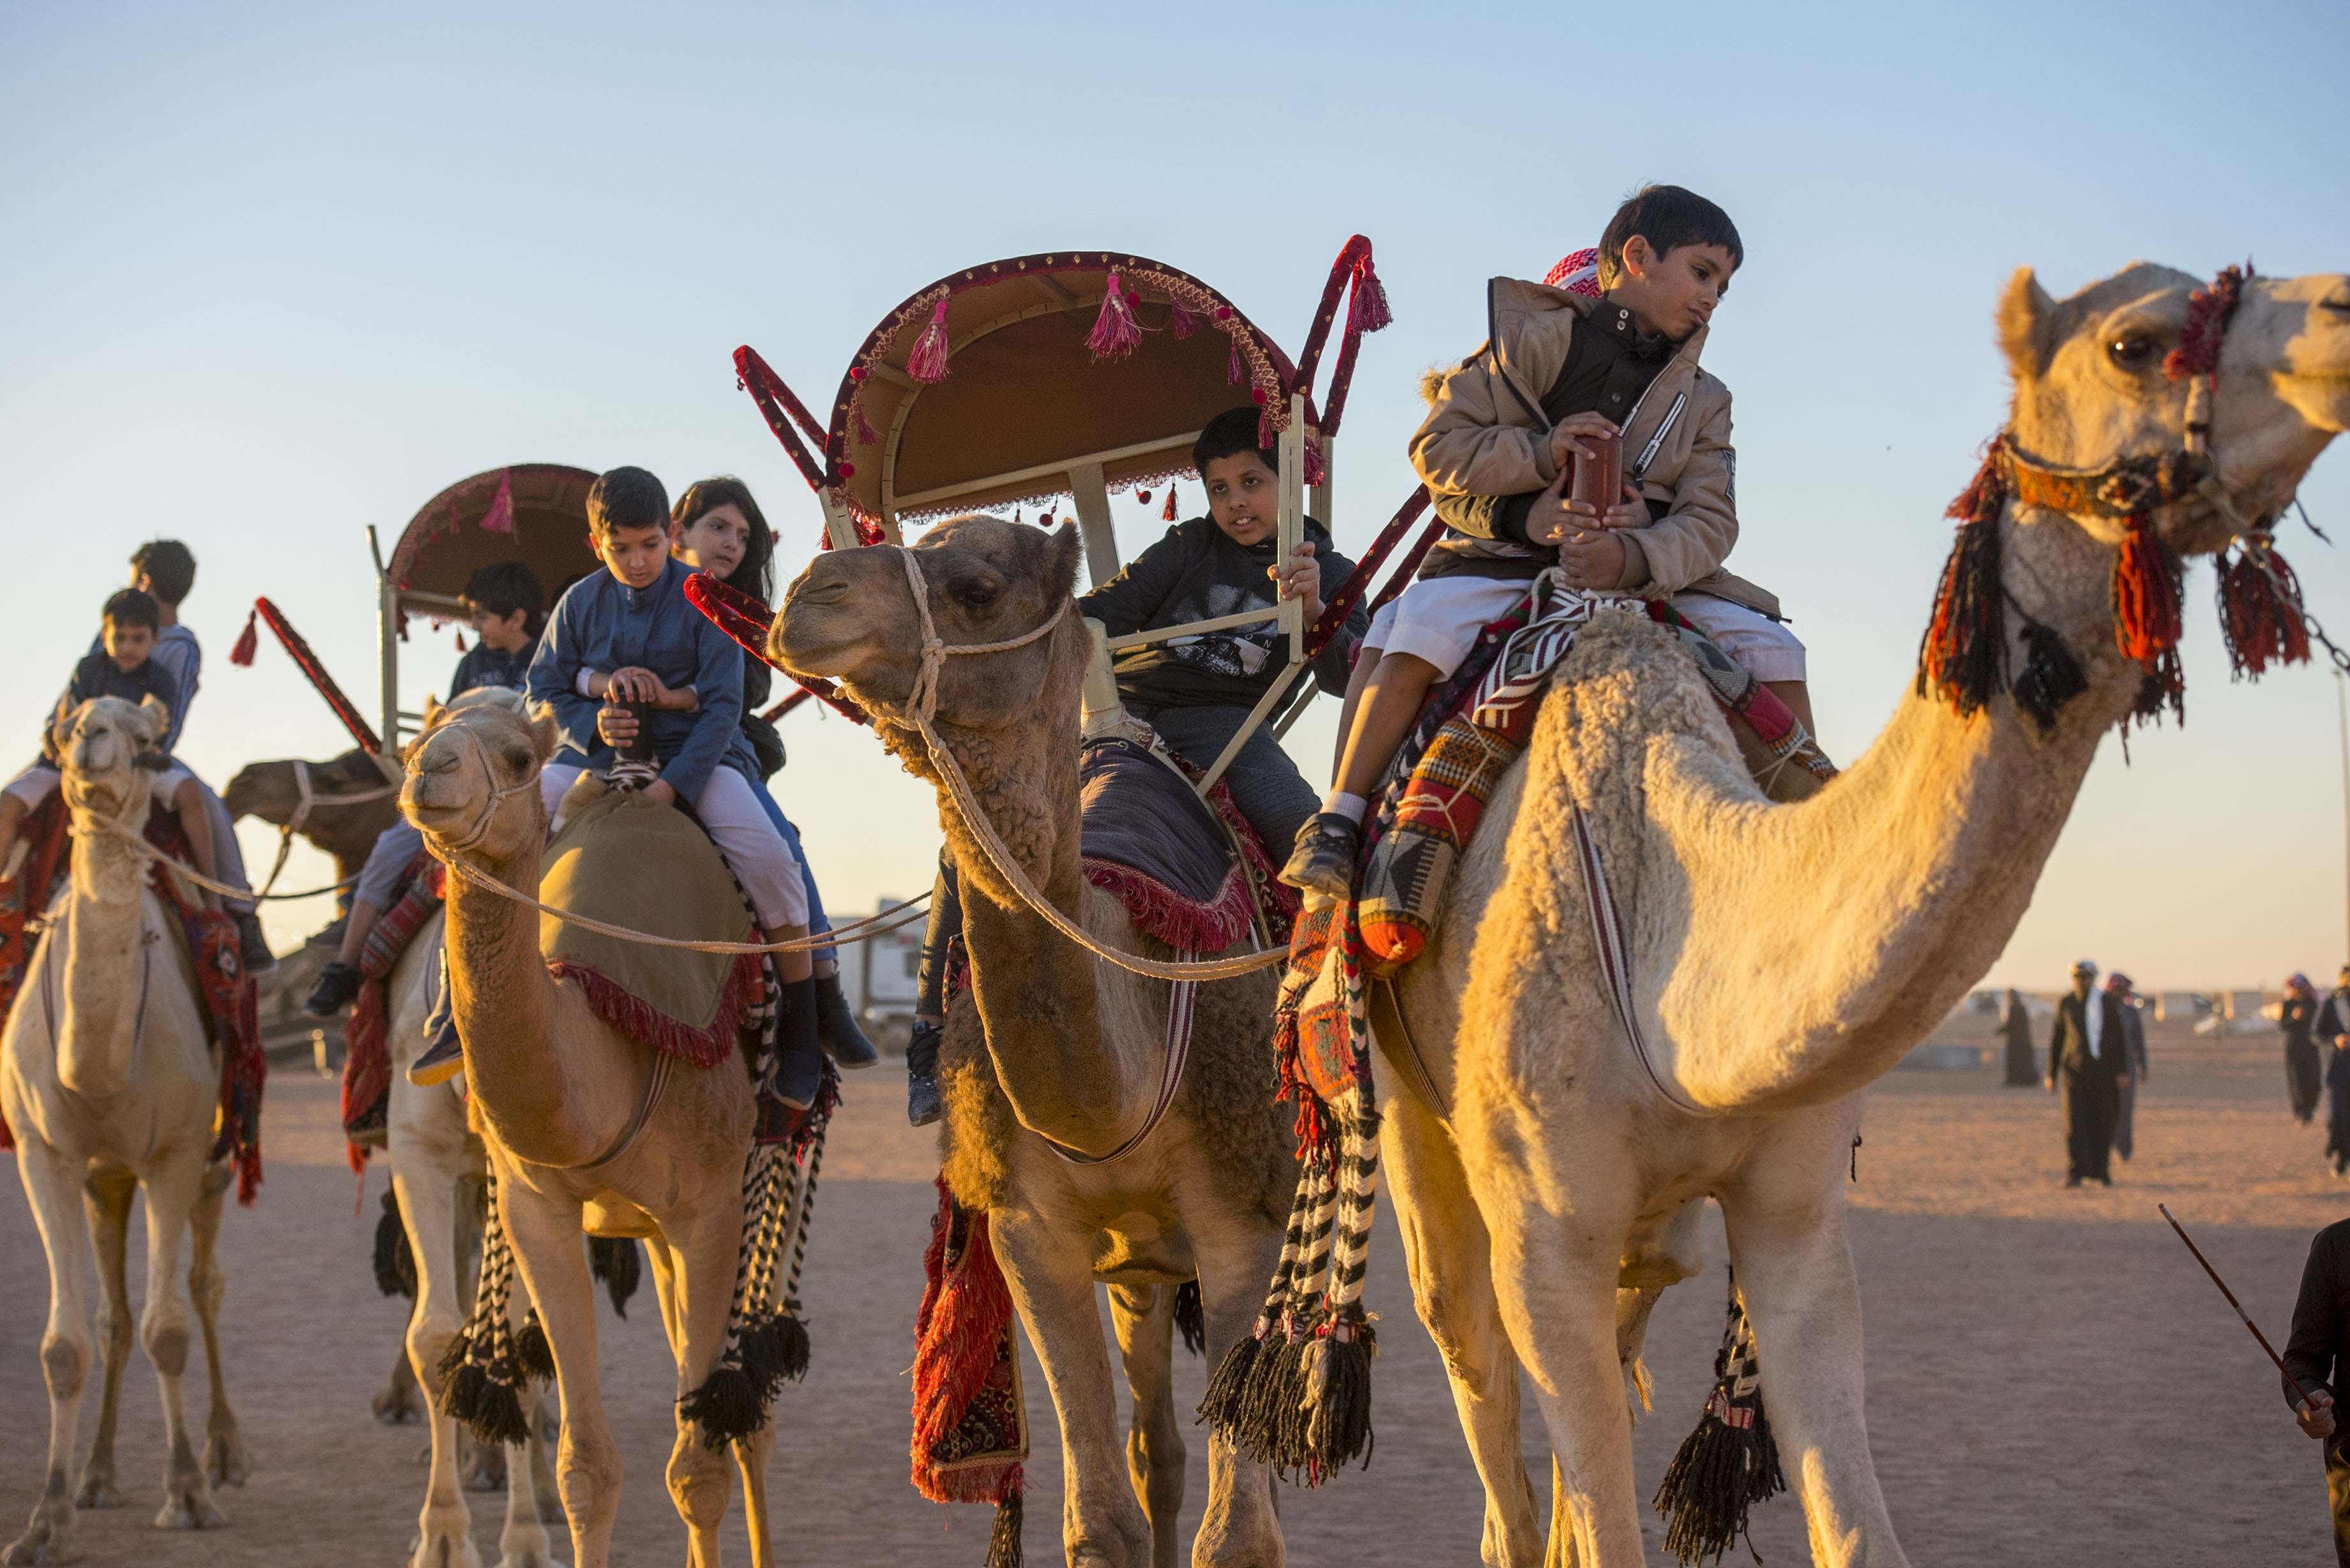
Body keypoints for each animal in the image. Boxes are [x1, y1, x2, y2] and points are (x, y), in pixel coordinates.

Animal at [2, 700, 249, 1568]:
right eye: (67, 723)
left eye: (147, 742)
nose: (91, 742)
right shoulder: (46, 1153)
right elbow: (65, 1345)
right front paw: (44, 1519)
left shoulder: (174, 1152)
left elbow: (167, 1328)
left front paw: (187, 1492)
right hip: (104, 1178)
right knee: (111, 1316)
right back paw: (97, 1475)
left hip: (212, 1153)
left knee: (204, 1286)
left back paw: (223, 1453)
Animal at [399, 700, 775, 1568]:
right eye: (414, 743)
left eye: (516, 755)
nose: (429, 768)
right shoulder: (536, 1205)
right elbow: (588, 1468)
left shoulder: (709, 1209)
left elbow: (699, 1462)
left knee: (746, 1414)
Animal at [771, 524, 1297, 1568]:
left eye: (976, 588)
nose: (808, 594)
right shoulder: (1031, 1234)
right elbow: (1100, 1521)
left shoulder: (1244, 1219)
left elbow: (1240, 1536)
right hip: (1138, 1266)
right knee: (1156, 1451)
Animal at [1353, 263, 2350, 1560]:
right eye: (2134, 342)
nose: (2340, 316)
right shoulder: (1545, 1229)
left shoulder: (1799, 1215)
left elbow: (1855, 1523)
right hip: (1419, 1121)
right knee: (1475, 1375)